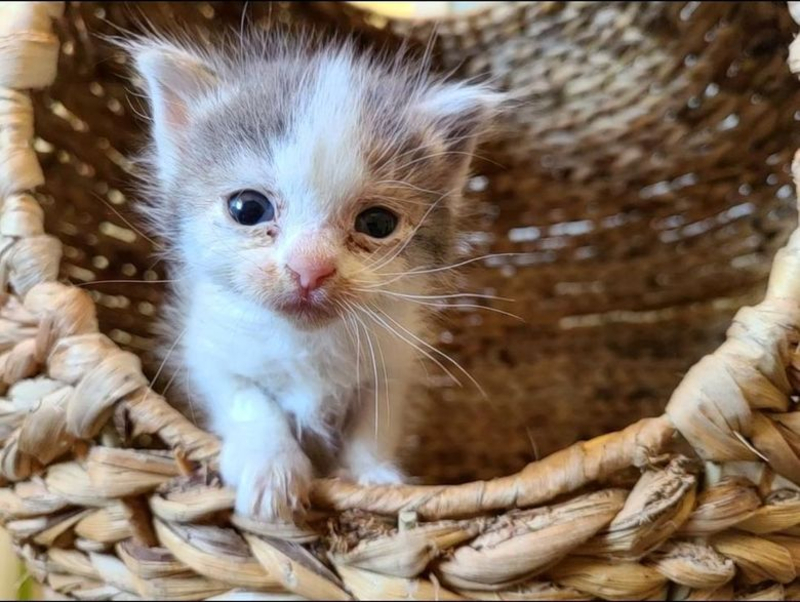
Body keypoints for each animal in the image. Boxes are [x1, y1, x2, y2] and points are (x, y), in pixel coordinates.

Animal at [123, 29, 500, 520]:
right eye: (248, 208)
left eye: (377, 223)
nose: (310, 268)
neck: (304, 342)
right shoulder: (204, 351)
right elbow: (249, 399)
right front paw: (271, 469)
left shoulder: (394, 365)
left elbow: (375, 421)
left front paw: (372, 477)